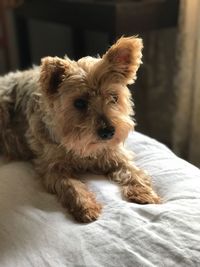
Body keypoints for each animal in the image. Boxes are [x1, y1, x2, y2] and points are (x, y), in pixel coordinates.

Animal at [0, 36, 160, 223]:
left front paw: (145, 193)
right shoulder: (52, 167)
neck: (83, 147)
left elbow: (133, 171)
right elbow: (71, 186)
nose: (108, 132)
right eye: (79, 103)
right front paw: (86, 207)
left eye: (114, 98)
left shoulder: (115, 154)